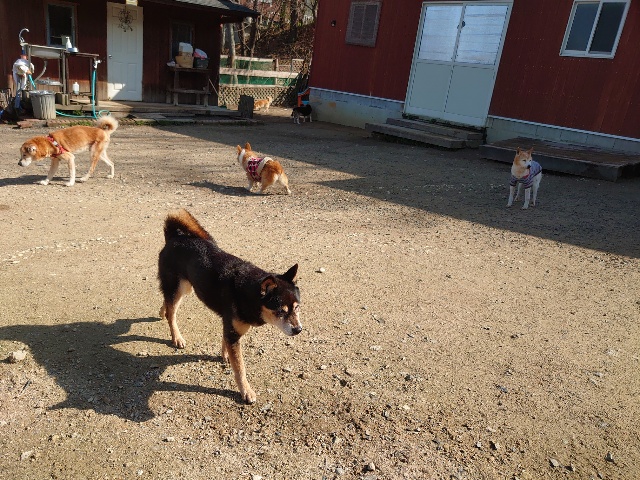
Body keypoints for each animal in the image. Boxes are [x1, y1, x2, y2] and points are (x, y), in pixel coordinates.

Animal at [158, 209, 301, 403]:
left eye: (297, 307)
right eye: (281, 311)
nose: (298, 329)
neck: (248, 292)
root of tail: (173, 237)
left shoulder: (228, 327)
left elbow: (226, 344)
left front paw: (225, 355)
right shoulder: (233, 333)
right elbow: (240, 368)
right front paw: (246, 391)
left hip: (185, 287)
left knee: (166, 301)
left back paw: (161, 311)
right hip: (178, 287)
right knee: (172, 314)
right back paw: (177, 337)